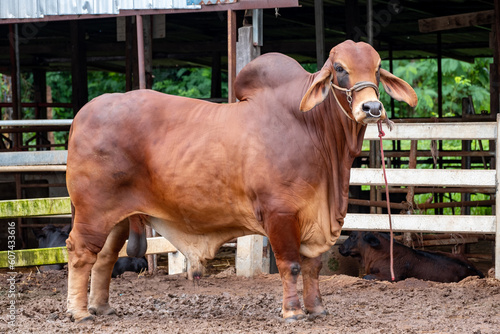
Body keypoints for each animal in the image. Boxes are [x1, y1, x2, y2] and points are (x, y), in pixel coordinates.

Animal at [65, 39, 418, 324]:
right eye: (340, 68)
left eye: (378, 68)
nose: (371, 107)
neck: (313, 130)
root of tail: (84, 113)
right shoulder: (280, 214)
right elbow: (291, 265)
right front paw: (293, 312)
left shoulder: (314, 217)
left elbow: (312, 267)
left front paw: (317, 309)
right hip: (93, 211)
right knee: (81, 253)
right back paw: (80, 313)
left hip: (117, 217)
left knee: (105, 257)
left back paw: (102, 308)